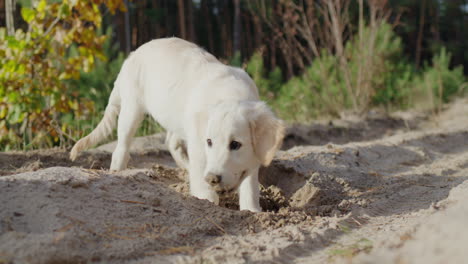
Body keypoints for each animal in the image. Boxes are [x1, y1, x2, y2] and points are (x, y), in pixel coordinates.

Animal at [68, 37, 284, 212]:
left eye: (235, 145)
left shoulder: (252, 158)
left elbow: (250, 187)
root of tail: (132, 56)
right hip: (132, 109)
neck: (230, 95)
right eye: (209, 142)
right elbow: (206, 189)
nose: (212, 178)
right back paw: (117, 171)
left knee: (171, 141)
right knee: (121, 148)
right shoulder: (199, 146)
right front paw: (207, 199)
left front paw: (252, 210)